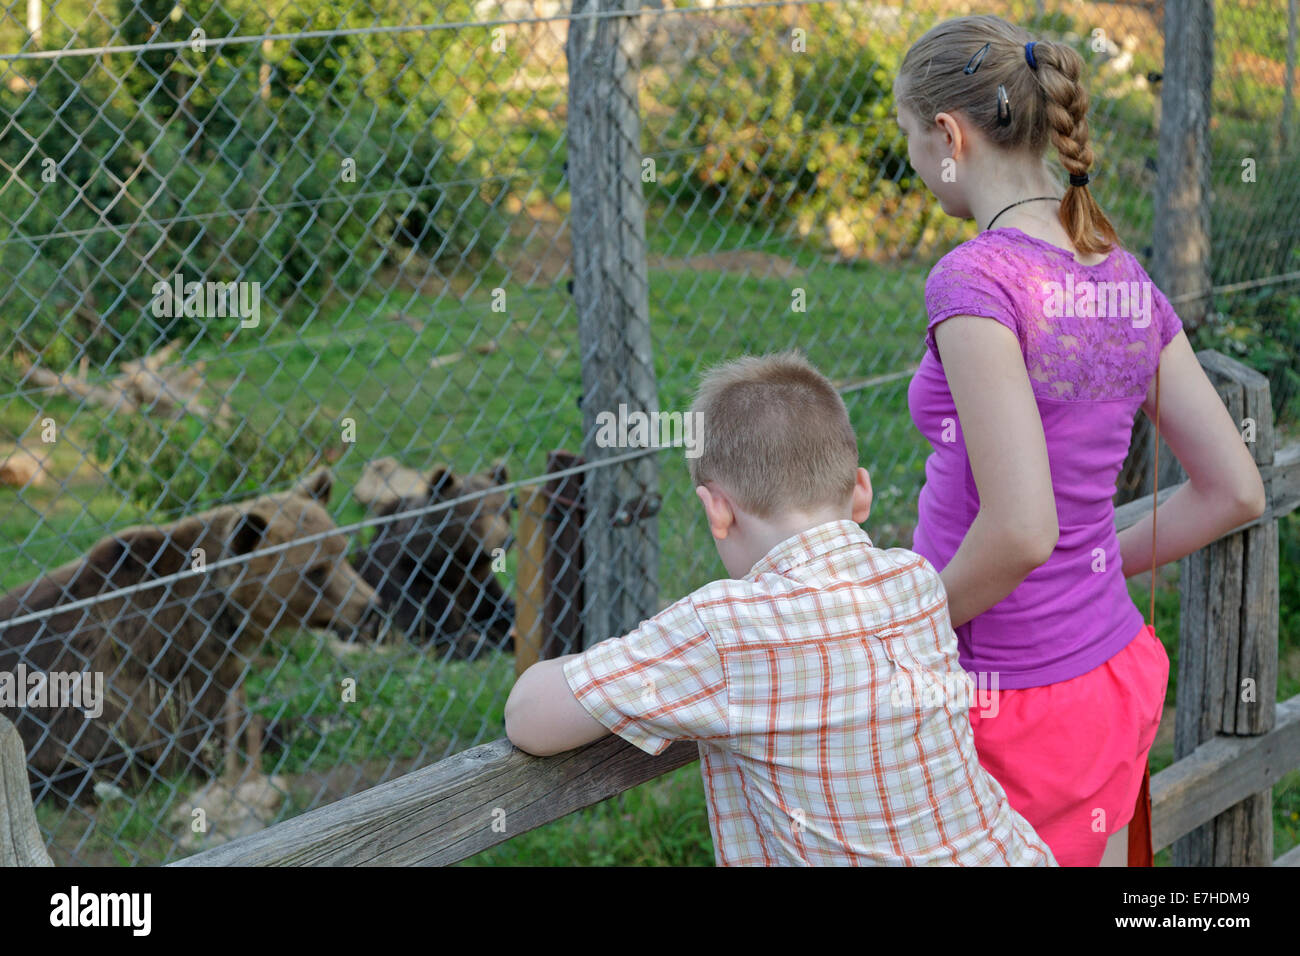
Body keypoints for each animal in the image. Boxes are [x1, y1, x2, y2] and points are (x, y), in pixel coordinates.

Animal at [0, 468, 379, 801]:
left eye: (342, 551)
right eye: (315, 571)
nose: (370, 607)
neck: (220, 614)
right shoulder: (167, 663)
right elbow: (212, 737)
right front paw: (330, 720)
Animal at [358, 463, 520, 658]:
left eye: (503, 511)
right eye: (477, 515)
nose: (506, 539)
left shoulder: (479, 584)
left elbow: (498, 611)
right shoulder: (411, 580)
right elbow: (430, 628)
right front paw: (476, 643)